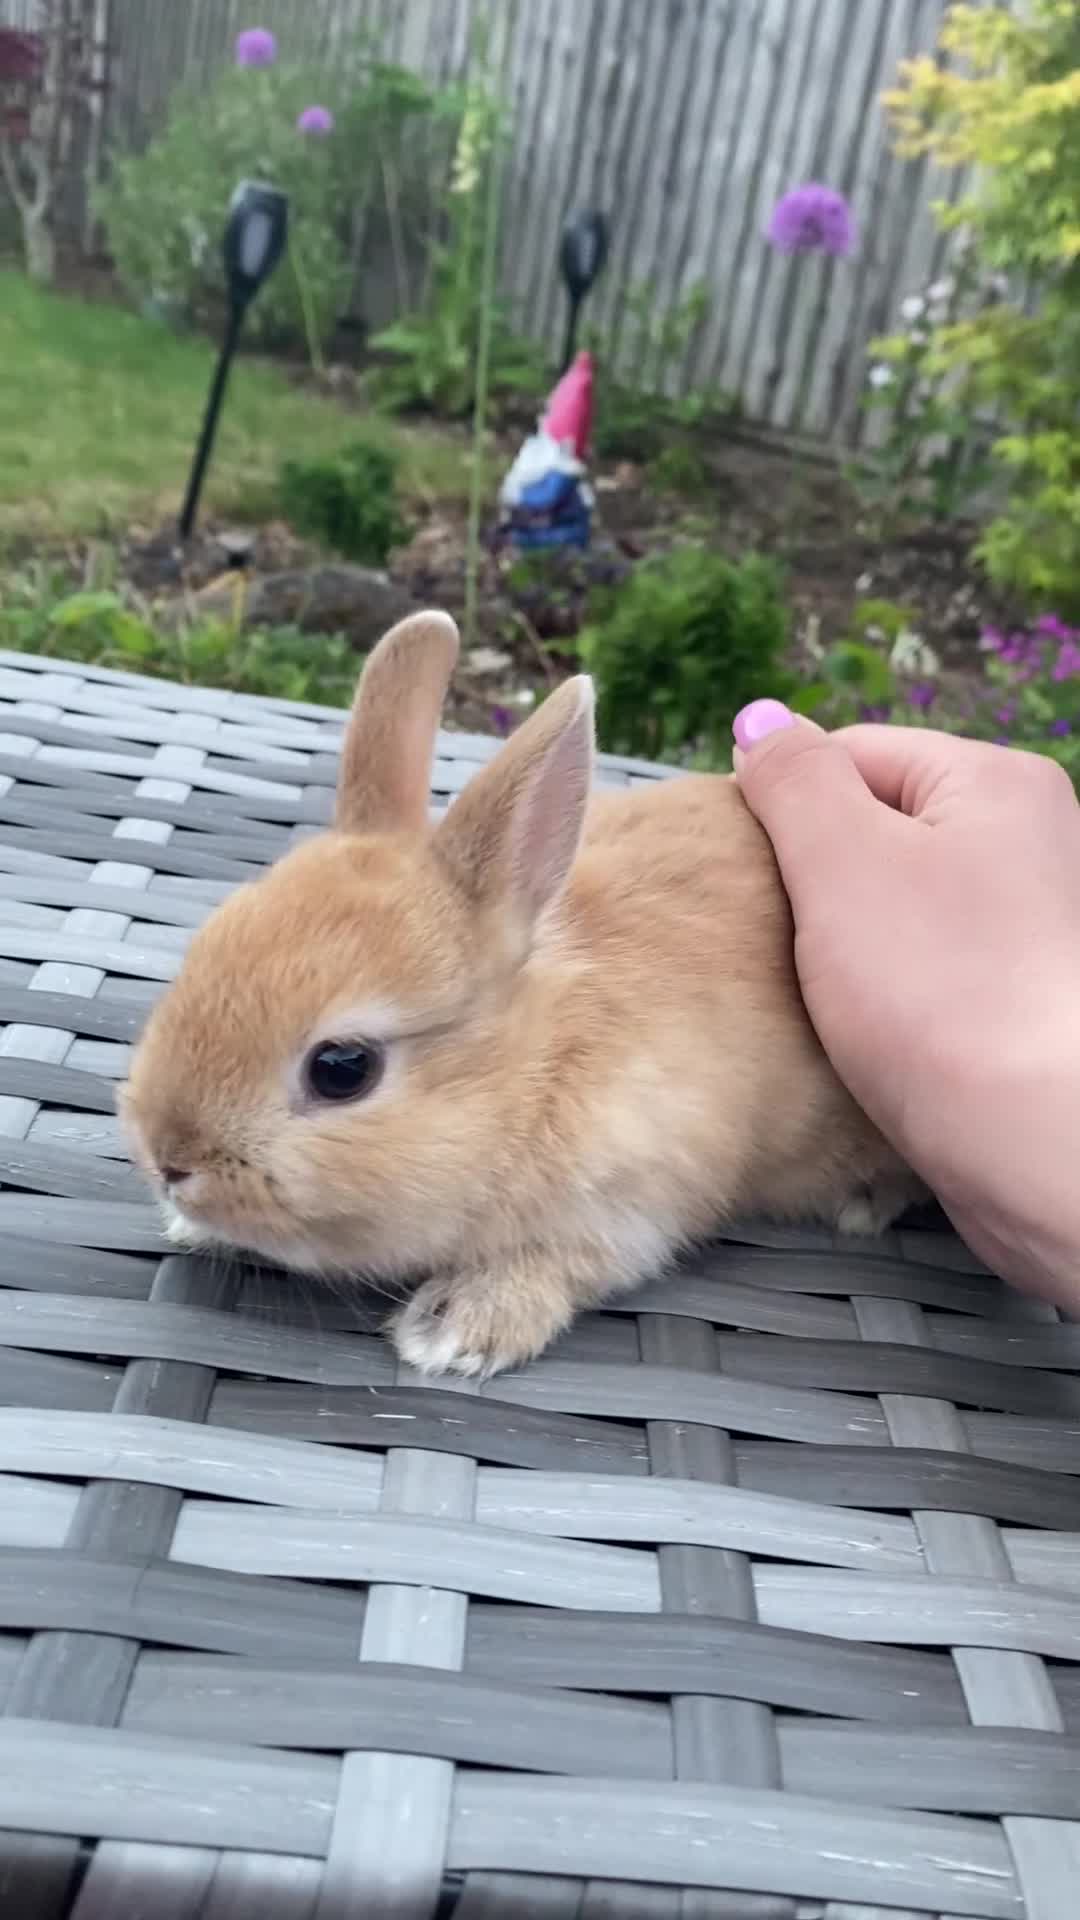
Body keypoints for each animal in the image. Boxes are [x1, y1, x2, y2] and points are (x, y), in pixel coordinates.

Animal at [120, 609, 921, 1378]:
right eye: (205, 945)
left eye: (343, 1069)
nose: (170, 1160)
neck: (534, 1070)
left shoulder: (635, 1200)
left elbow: (561, 1264)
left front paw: (454, 1329)